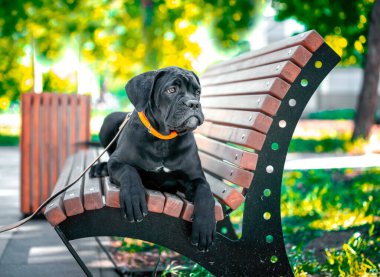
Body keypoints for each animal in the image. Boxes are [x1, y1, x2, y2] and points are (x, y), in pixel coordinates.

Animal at [88, 65, 214, 250]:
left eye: (197, 92)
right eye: (171, 90)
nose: (194, 103)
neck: (163, 140)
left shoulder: (196, 178)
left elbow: (206, 194)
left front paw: (205, 227)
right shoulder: (118, 162)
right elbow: (129, 173)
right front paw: (133, 199)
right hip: (110, 120)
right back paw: (100, 168)